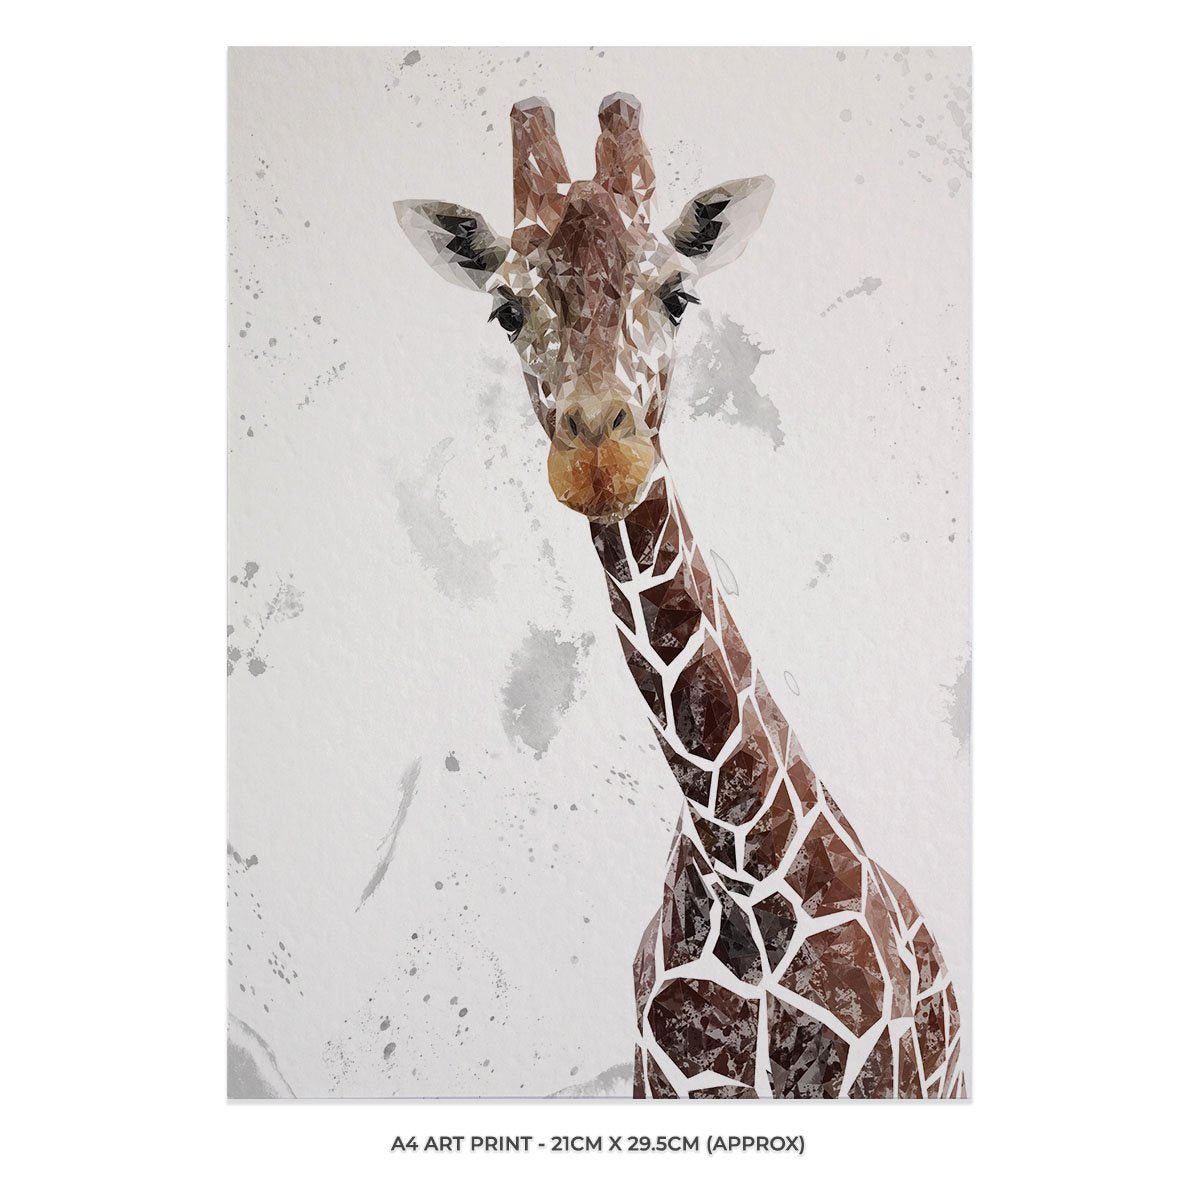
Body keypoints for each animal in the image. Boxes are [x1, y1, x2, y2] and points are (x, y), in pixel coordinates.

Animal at [394, 94, 967, 1099]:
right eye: (506, 309)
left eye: (678, 295)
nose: (598, 452)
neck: (742, 870)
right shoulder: (663, 1085)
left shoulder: (881, 1080)